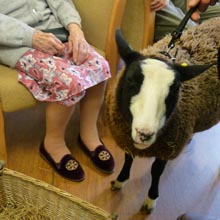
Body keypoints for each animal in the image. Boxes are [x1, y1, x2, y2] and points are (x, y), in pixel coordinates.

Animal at [104, 17, 220, 215]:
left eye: (175, 89)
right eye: (131, 80)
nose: (145, 134)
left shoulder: (167, 147)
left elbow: (156, 171)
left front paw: (151, 199)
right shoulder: (127, 136)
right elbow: (128, 158)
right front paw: (120, 180)